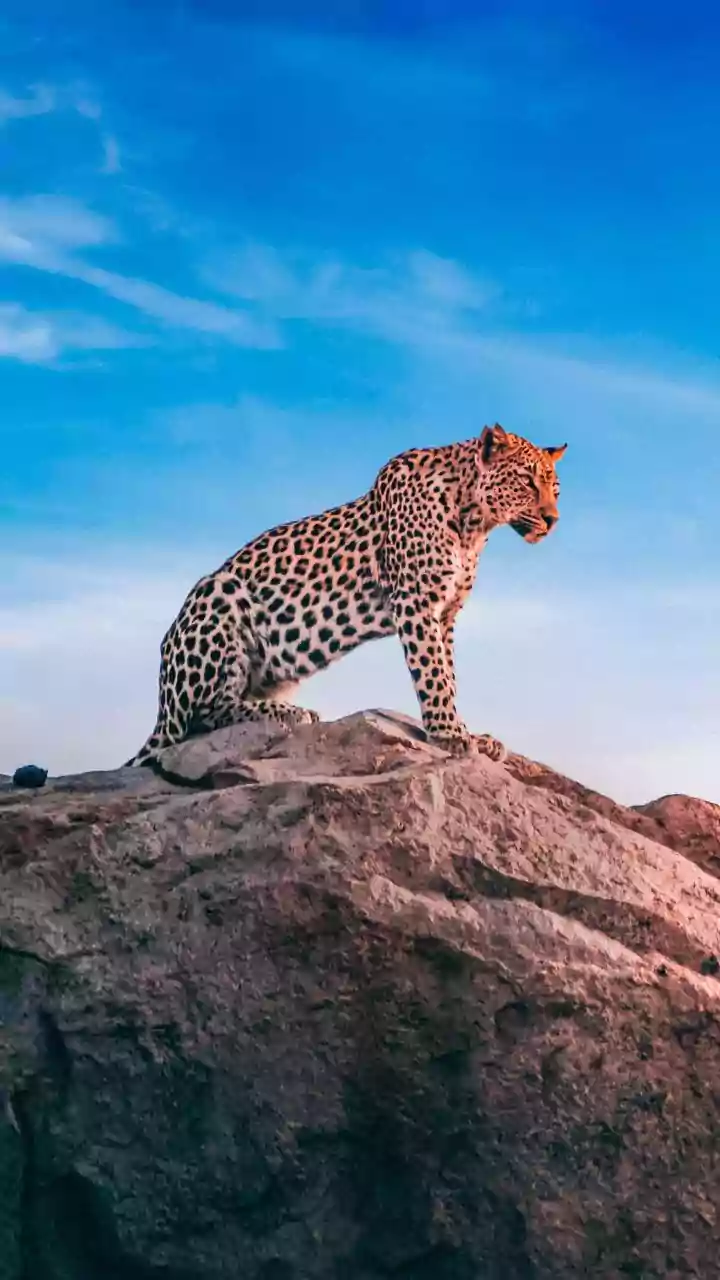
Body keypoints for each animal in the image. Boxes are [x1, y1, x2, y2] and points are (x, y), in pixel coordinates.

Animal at [126, 423, 566, 768]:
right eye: (527, 481)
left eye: (555, 489)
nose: (552, 520)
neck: (474, 523)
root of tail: (162, 707)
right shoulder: (416, 602)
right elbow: (433, 674)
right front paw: (449, 734)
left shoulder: (446, 615)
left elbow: (449, 673)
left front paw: (469, 732)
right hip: (218, 594)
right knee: (200, 718)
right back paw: (292, 713)